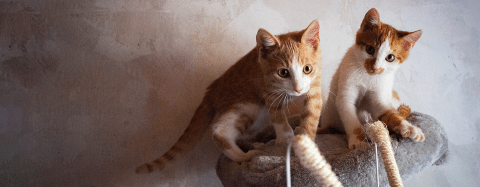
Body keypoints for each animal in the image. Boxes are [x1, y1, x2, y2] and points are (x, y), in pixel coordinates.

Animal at [135, 19, 322, 173]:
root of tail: (213, 87)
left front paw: (306, 144)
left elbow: (311, 114)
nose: (298, 89)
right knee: (219, 131)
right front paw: (286, 139)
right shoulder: (268, 91)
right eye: (283, 73)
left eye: (307, 69)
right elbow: (278, 118)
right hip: (248, 105)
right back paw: (244, 156)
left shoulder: (314, 88)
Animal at [320, 8, 426, 149]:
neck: (368, 77)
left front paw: (409, 128)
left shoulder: (378, 99)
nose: (375, 68)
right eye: (370, 49)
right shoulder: (345, 91)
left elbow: (387, 112)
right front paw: (358, 142)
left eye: (390, 57)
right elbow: (350, 117)